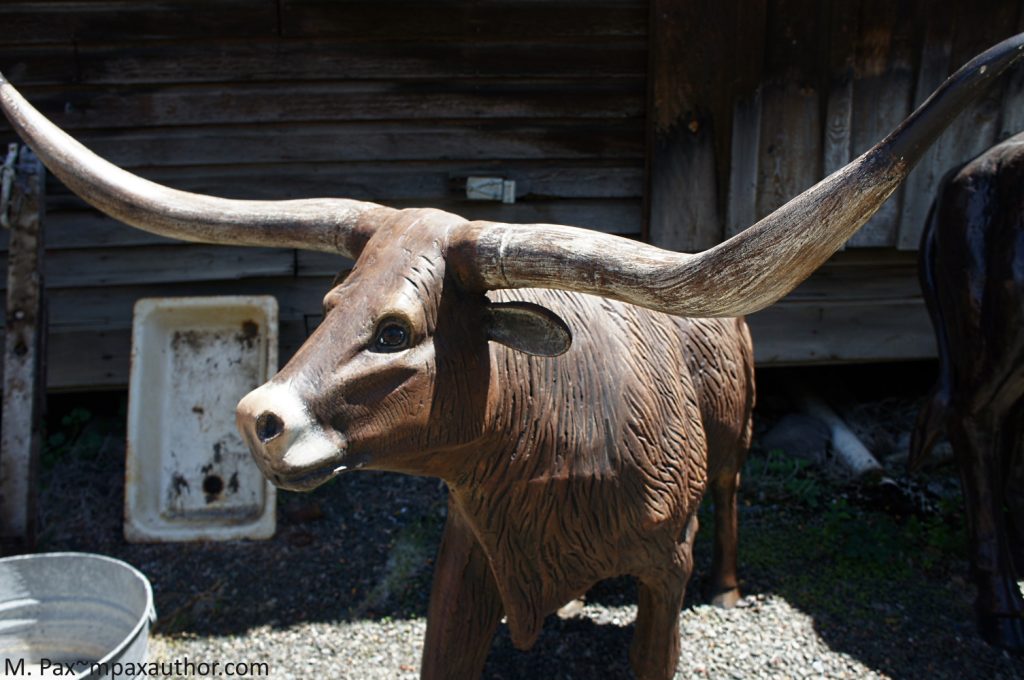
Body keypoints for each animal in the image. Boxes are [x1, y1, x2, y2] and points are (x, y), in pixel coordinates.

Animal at [2, 34, 1023, 680]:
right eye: (328, 308)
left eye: (395, 331)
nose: (259, 419)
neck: (550, 456)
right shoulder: (467, 560)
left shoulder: (662, 570)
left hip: (735, 436)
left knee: (736, 496)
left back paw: (732, 591)